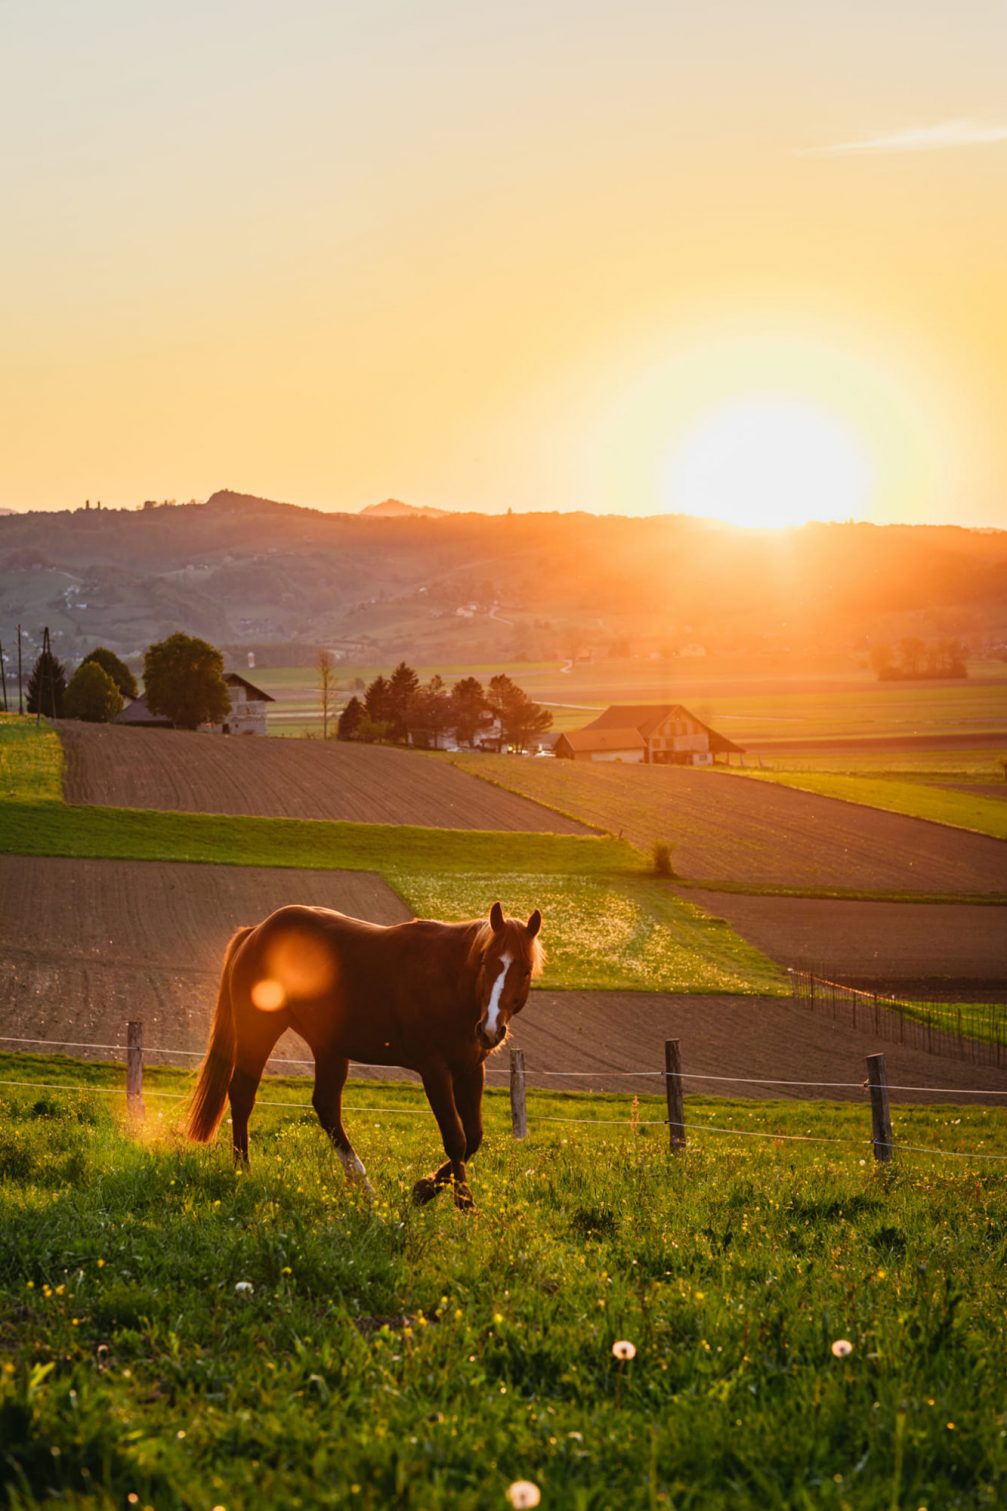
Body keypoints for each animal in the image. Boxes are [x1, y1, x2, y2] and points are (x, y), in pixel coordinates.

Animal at [180, 900, 541, 1208]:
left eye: (525, 970)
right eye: (486, 963)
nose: (490, 1029)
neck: (449, 982)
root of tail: (255, 932)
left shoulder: (470, 1070)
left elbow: (474, 1137)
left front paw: (424, 1189)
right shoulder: (435, 1070)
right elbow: (456, 1138)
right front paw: (463, 1203)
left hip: (328, 1047)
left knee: (326, 1107)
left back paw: (362, 1184)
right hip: (260, 1030)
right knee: (243, 1094)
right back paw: (244, 1169)